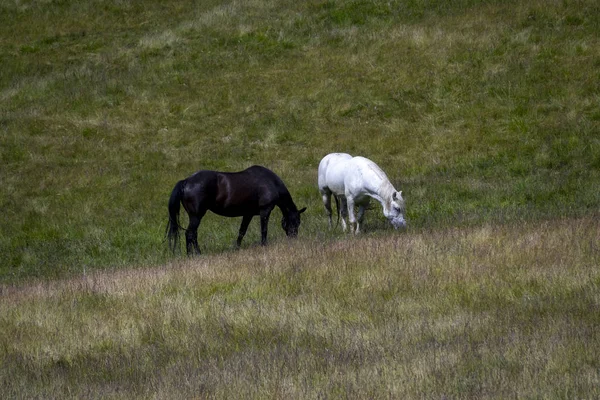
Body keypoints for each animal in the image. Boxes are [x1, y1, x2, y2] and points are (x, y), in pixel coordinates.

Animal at [166, 166, 308, 256]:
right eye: (296, 222)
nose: (293, 238)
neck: (271, 182)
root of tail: (186, 181)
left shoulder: (248, 214)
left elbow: (242, 232)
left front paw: (237, 248)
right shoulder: (265, 210)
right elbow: (264, 230)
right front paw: (263, 245)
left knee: (192, 234)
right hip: (196, 216)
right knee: (190, 234)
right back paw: (195, 255)